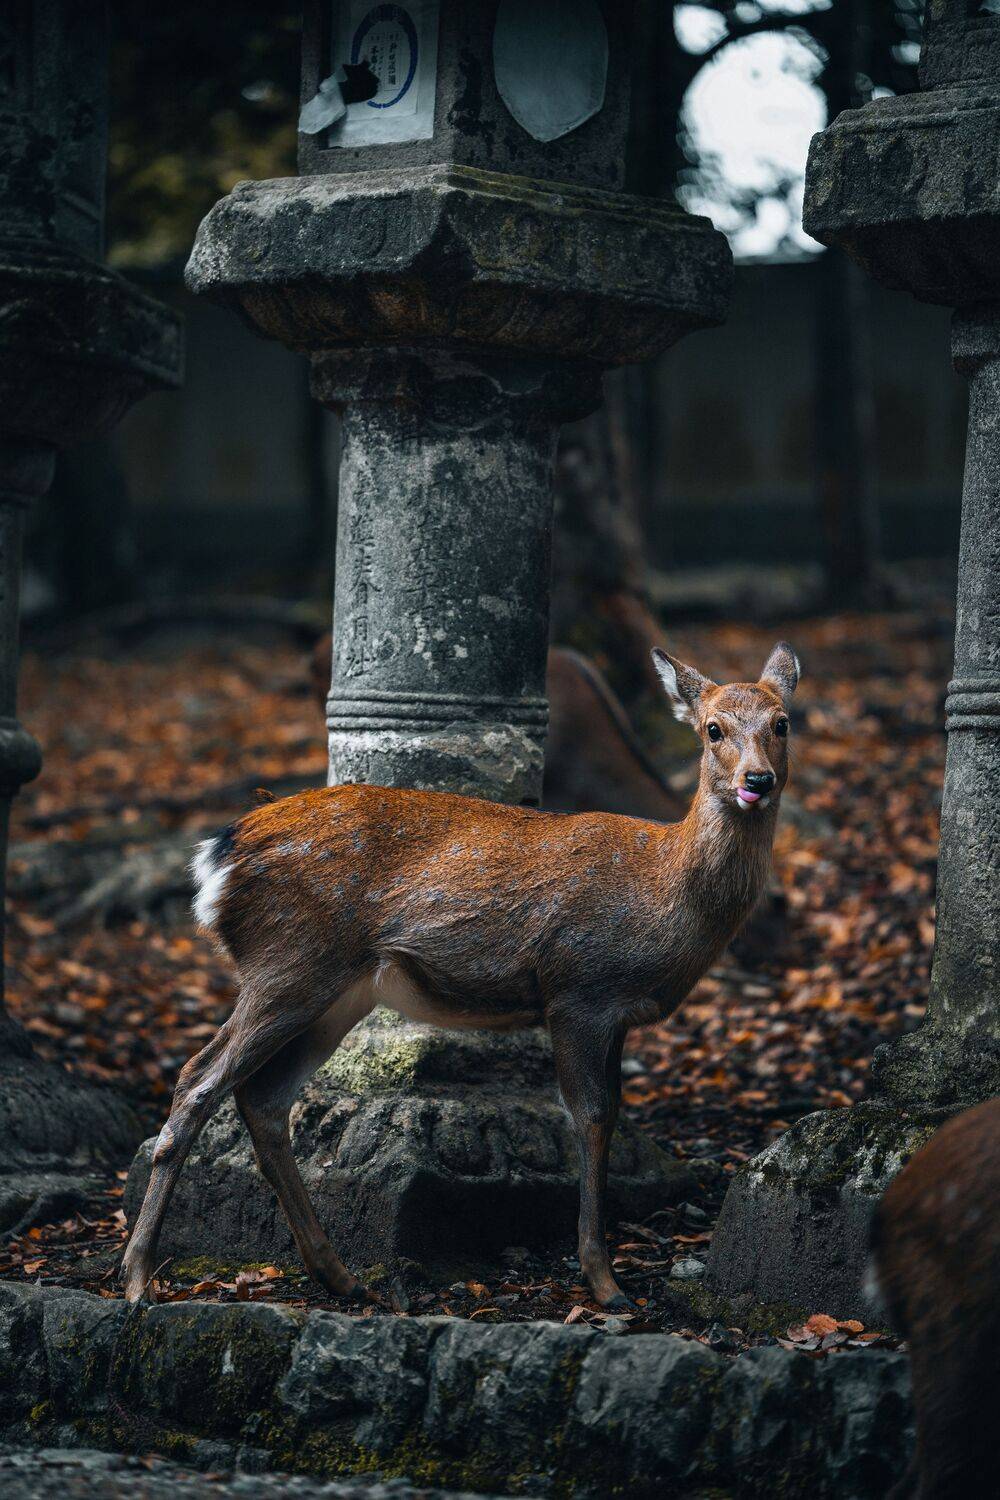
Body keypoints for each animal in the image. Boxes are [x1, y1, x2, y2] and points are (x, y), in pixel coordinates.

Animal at [120, 641, 799, 1310]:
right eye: (713, 728)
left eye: (782, 723)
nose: (757, 781)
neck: (663, 892)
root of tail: (218, 859)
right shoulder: (578, 991)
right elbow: (590, 1117)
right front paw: (605, 1284)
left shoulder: (617, 1015)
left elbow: (607, 1115)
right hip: (288, 961)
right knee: (199, 1079)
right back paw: (136, 1279)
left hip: (334, 991)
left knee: (261, 1097)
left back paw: (339, 1276)